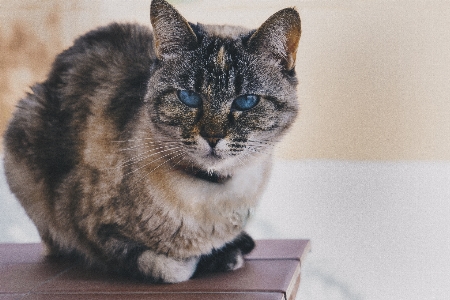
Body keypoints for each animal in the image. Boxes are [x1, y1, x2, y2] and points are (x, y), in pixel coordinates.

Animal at [3, 0, 300, 282]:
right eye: (188, 97)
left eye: (246, 101)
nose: (212, 137)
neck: (213, 193)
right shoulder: (97, 236)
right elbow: (174, 269)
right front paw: (217, 257)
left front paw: (228, 251)